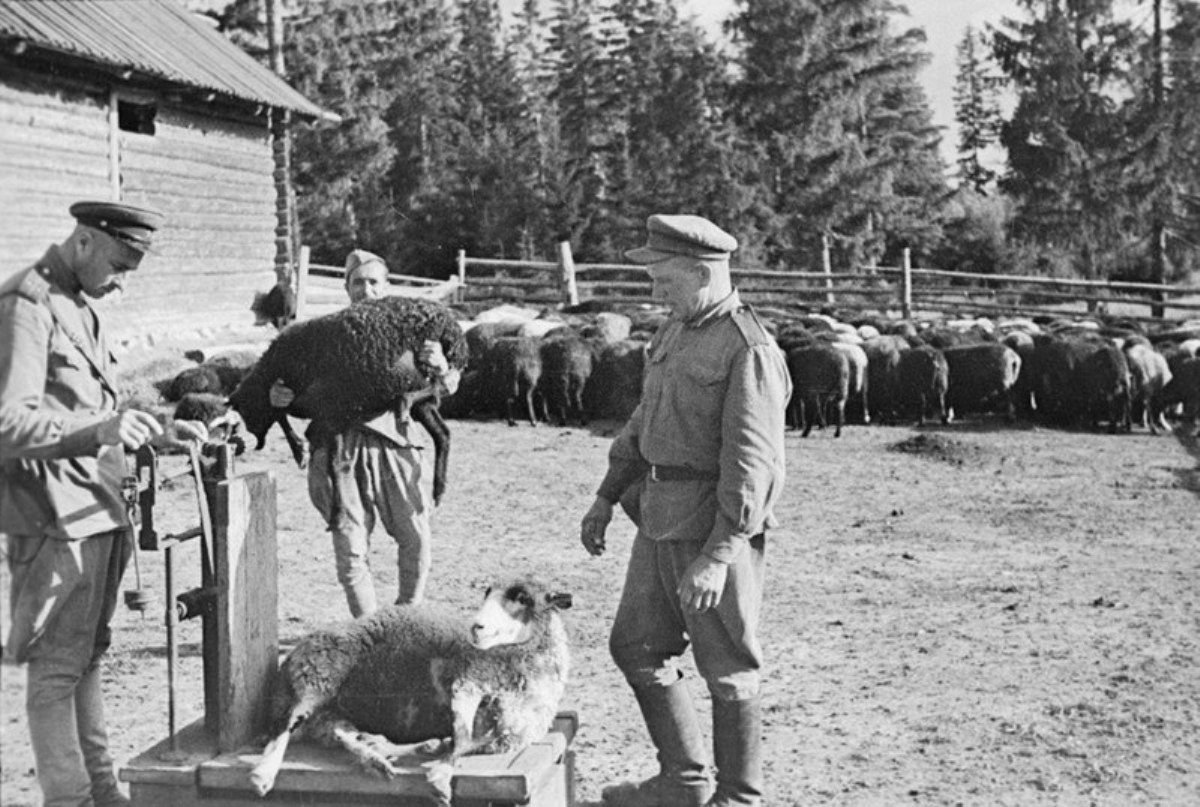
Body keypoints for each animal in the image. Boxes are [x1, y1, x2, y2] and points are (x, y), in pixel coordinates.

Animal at [225, 296, 468, 504]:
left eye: (246, 410)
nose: (254, 440)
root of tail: (451, 324)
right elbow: (282, 413)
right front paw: (299, 449)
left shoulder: (327, 403)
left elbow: (282, 414)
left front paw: (299, 449)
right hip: (420, 394)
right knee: (442, 432)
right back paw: (438, 489)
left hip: (419, 365)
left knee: (437, 386)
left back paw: (404, 402)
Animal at [248, 581, 571, 802]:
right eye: (487, 593)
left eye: (523, 598)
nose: (476, 627)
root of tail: (288, 661)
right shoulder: (465, 683)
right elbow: (464, 737)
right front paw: (440, 779)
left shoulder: (508, 736)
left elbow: (470, 741)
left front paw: (439, 760)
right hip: (321, 674)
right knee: (287, 723)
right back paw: (262, 774)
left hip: (328, 707)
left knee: (341, 733)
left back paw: (382, 756)